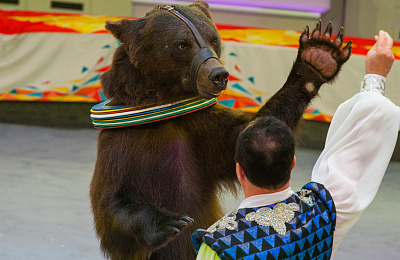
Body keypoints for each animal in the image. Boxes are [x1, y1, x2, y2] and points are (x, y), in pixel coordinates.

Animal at [89, 1, 352, 258]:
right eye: (182, 44)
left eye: (213, 39)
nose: (219, 75)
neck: (166, 108)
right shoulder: (124, 142)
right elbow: (111, 203)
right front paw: (171, 222)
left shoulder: (201, 129)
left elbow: (241, 138)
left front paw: (319, 55)